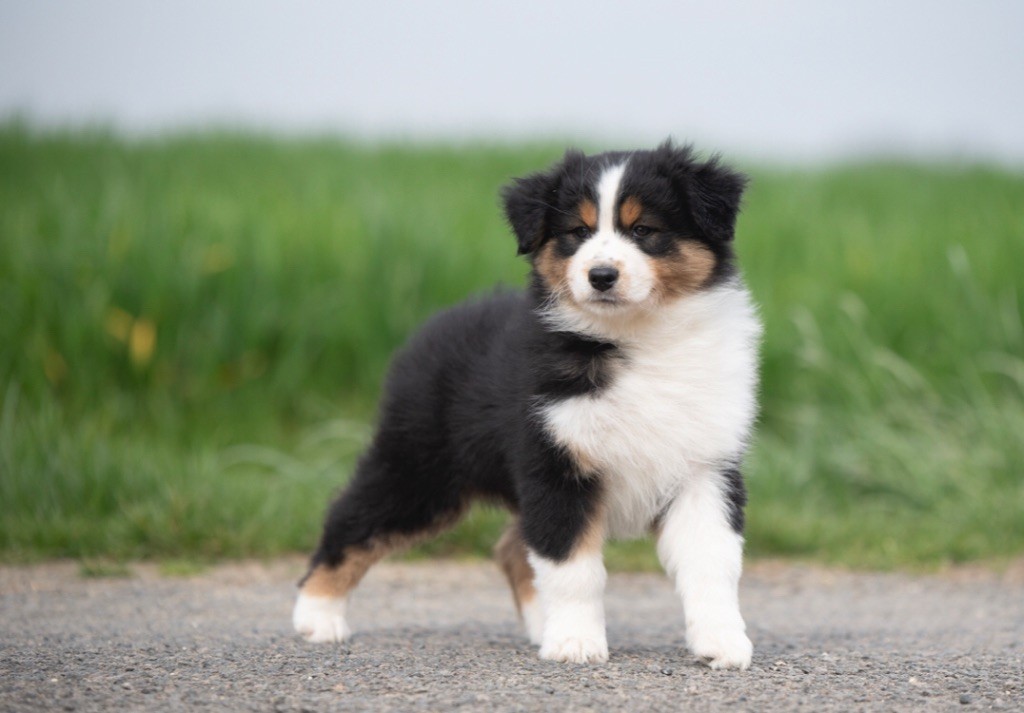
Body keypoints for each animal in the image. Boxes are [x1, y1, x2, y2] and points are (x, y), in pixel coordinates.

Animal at [292, 142, 761, 670]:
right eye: (576, 233)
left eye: (643, 230)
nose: (601, 276)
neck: (638, 339)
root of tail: (437, 323)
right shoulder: (556, 461)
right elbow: (574, 567)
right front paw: (576, 642)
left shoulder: (706, 469)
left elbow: (712, 563)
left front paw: (723, 642)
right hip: (420, 469)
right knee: (350, 519)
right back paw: (317, 616)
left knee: (511, 548)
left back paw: (540, 625)